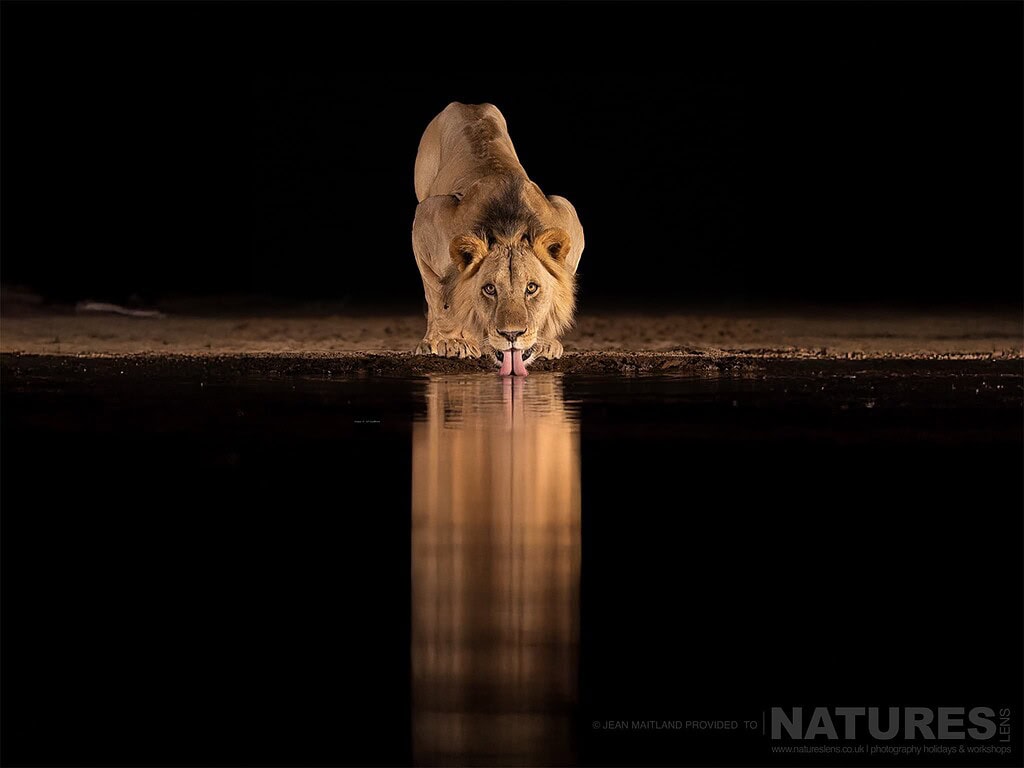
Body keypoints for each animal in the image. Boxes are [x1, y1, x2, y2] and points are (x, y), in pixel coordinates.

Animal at [412, 102, 584, 375]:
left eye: (531, 288)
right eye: (489, 289)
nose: (511, 335)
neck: (508, 230)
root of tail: (467, 104)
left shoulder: (567, 214)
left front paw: (544, 342)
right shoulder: (426, 219)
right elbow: (438, 298)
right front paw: (453, 342)